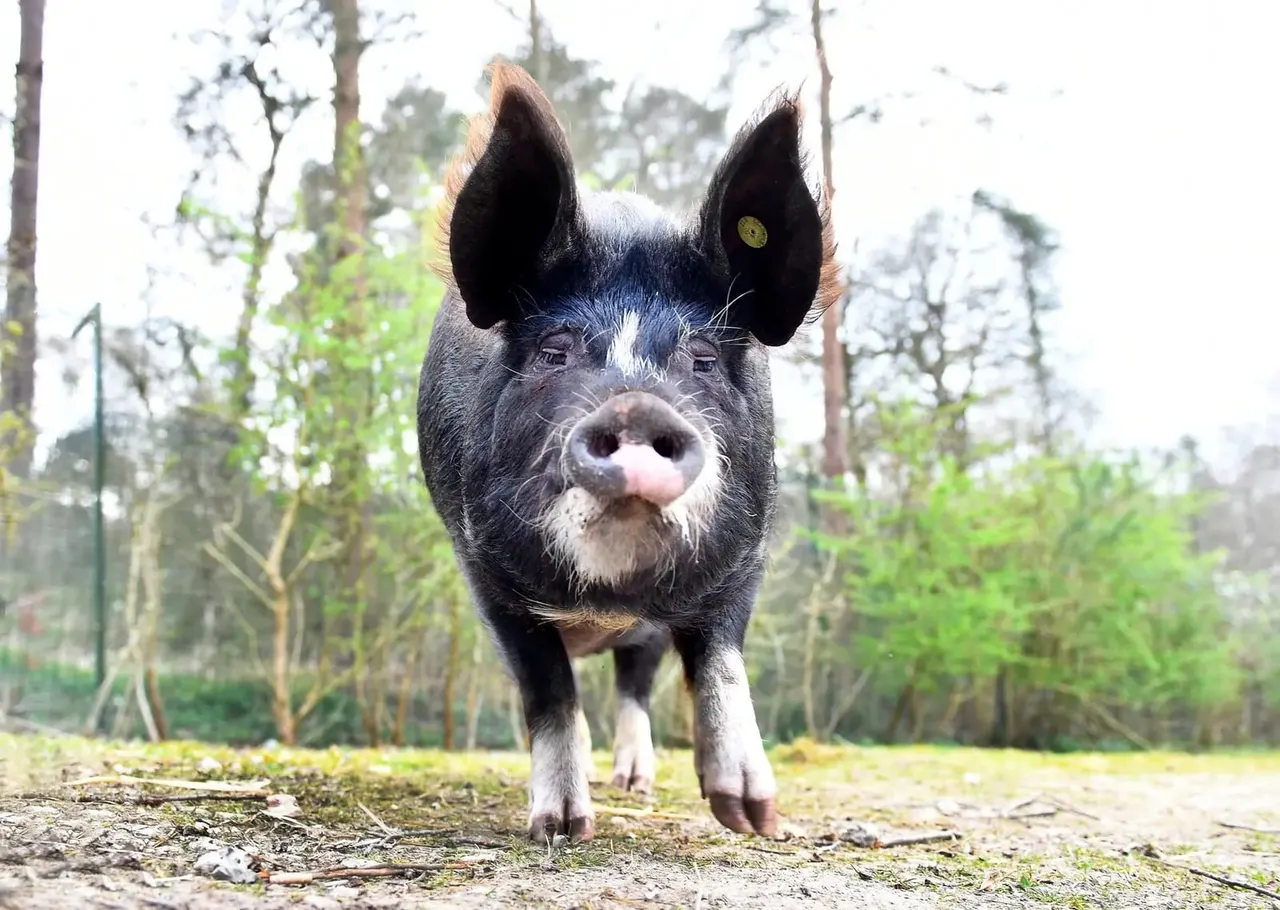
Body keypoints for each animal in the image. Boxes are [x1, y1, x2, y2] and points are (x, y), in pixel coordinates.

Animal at [416, 61, 840, 844]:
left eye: (703, 359)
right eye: (553, 351)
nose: (635, 406)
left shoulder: (750, 549)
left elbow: (719, 654)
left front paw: (754, 818)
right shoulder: (482, 568)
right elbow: (548, 687)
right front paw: (559, 828)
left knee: (636, 681)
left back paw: (637, 786)